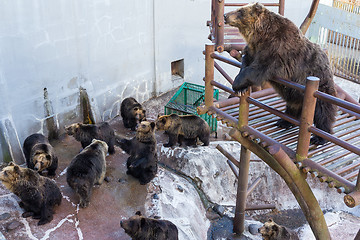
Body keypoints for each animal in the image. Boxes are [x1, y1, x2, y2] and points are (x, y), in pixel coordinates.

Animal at [225, 2, 338, 144]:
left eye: (240, 11)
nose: (225, 15)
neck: (260, 35)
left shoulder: (277, 50)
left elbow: (258, 69)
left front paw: (237, 84)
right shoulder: (253, 48)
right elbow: (246, 61)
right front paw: (241, 87)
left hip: (321, 87)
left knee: (323, 111)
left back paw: (319, 137)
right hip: (296, 95)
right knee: (293, 107)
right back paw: (284, 121)